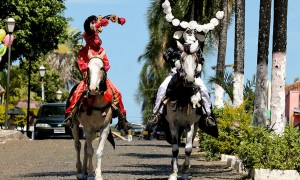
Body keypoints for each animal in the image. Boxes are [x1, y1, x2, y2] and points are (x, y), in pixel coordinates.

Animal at [68, 50, 115, 180]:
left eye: (102, 67)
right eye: (88, 68)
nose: (93, 88)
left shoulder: (104, 128)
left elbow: (98, 151)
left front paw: (97, 174)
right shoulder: (88, 129)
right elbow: (90, 151)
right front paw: (90, 174)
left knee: (84, 147)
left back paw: (85, 171)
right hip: (75, 125)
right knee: (78, 145)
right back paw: (80, 172)